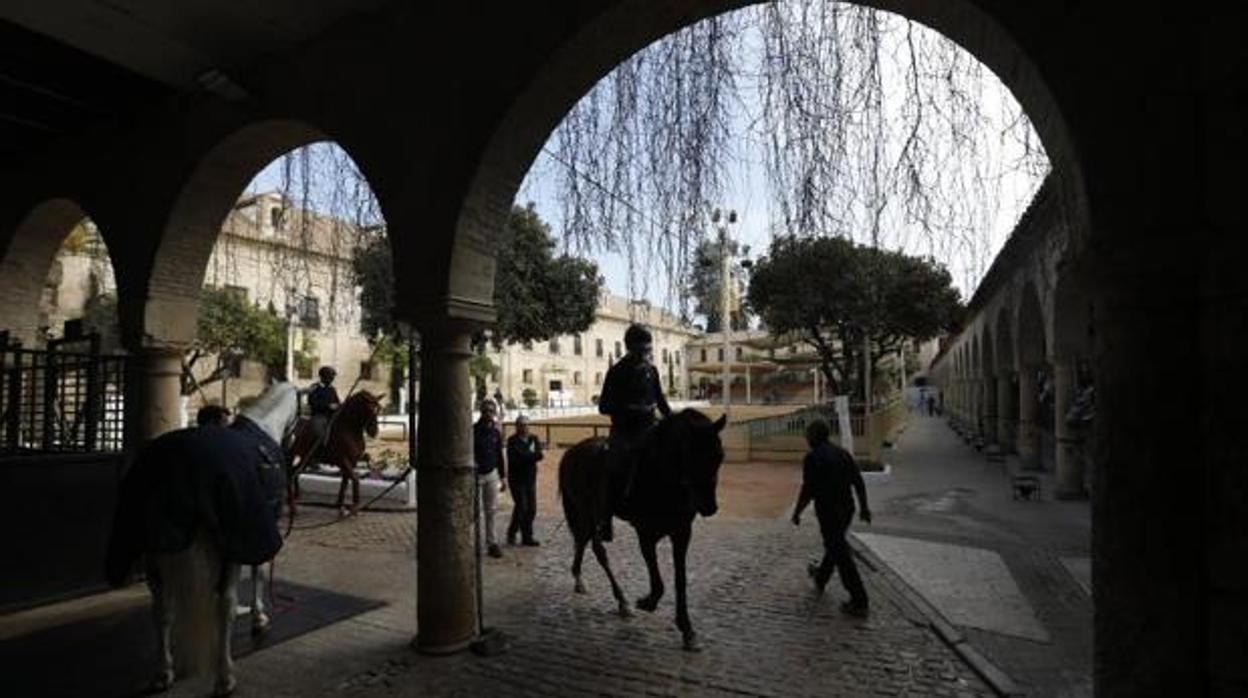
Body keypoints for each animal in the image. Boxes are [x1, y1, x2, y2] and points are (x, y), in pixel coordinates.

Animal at [107, 384, 299, 694]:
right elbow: (259, 572)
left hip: (155, 548)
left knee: (162, 610)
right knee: (225, 606)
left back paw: (163, 672)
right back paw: (224, 676)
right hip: (226, 548)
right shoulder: (257, 530)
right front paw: (259, 618)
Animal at [561, 409, 728, 649]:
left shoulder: (682, 533)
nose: (709, 507)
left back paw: (580, 580)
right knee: (597, 548)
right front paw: (647, 602)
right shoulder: (645, 533)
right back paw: (622, 601)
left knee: (582, 541)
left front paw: (687, 630)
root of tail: (572, 451)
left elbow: (680, 580)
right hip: (587, 511)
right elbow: (658, 583)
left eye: (719, 456)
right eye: (691, 454)